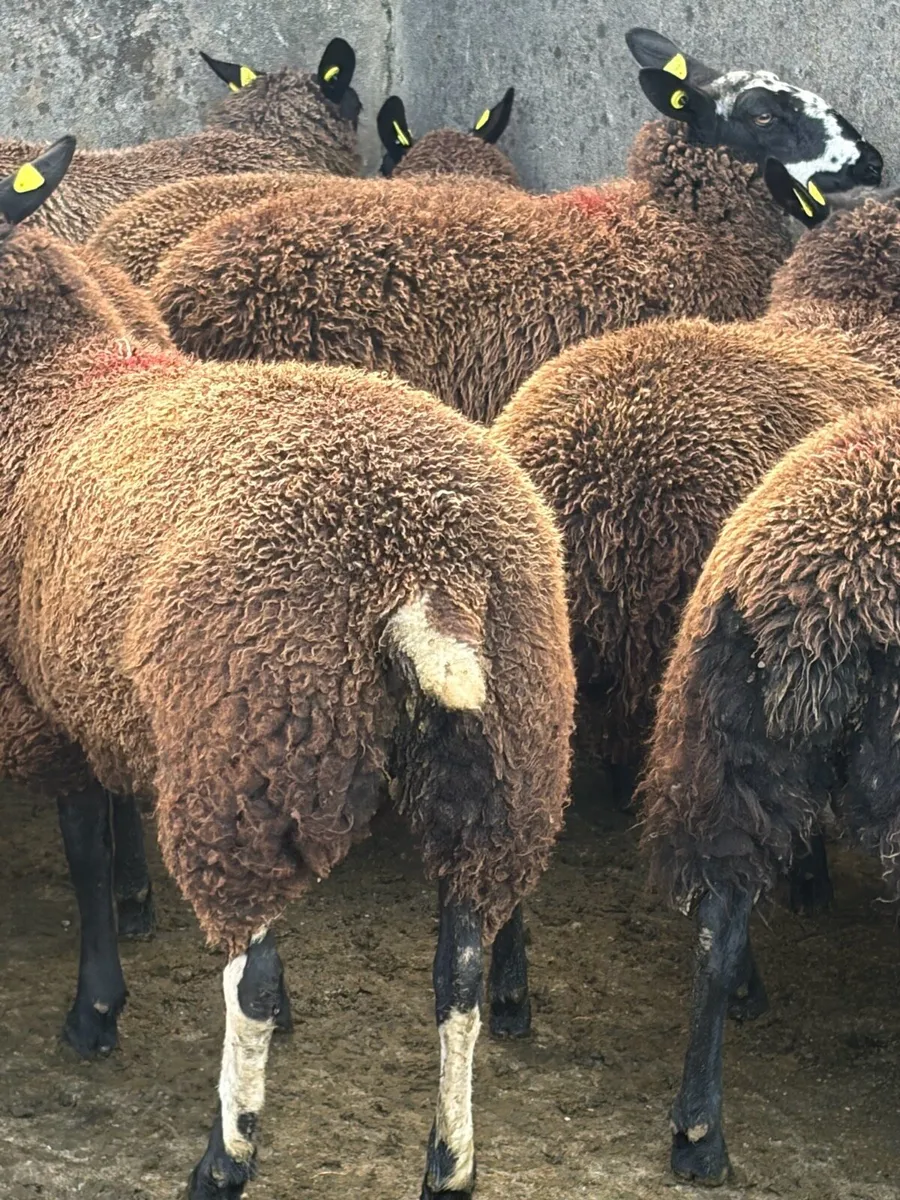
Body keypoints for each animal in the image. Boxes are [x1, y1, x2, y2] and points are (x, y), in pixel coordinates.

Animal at [0, 139, 574, 1200]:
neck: (50, 376)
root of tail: (427, 566)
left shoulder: (46, 707)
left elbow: (88, 854)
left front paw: (95, 1010)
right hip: (500, 763)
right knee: (460, 969)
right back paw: (449, 1164)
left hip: (250, 750)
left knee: (252, 976)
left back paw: (223, 1158)